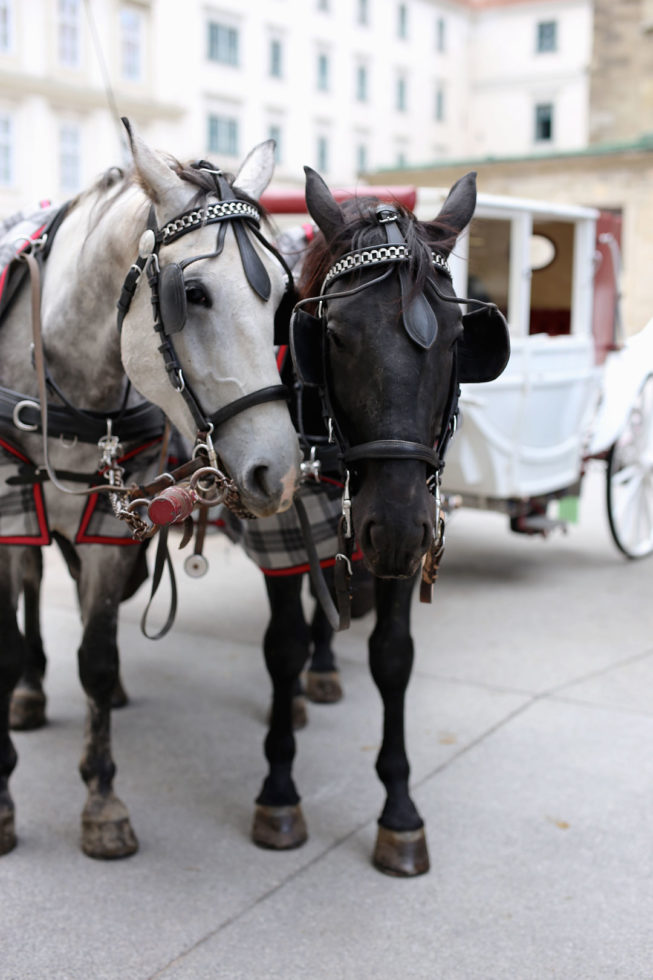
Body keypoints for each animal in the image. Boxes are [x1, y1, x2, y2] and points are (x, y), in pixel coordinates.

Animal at [252, 165, 506, 876]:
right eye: (333, 335)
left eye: (458, 339)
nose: (392, 525)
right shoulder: (279, 535)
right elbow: (280, 647)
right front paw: (279, 790)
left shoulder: (403, 547)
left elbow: (393, 658)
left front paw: (399, 811)